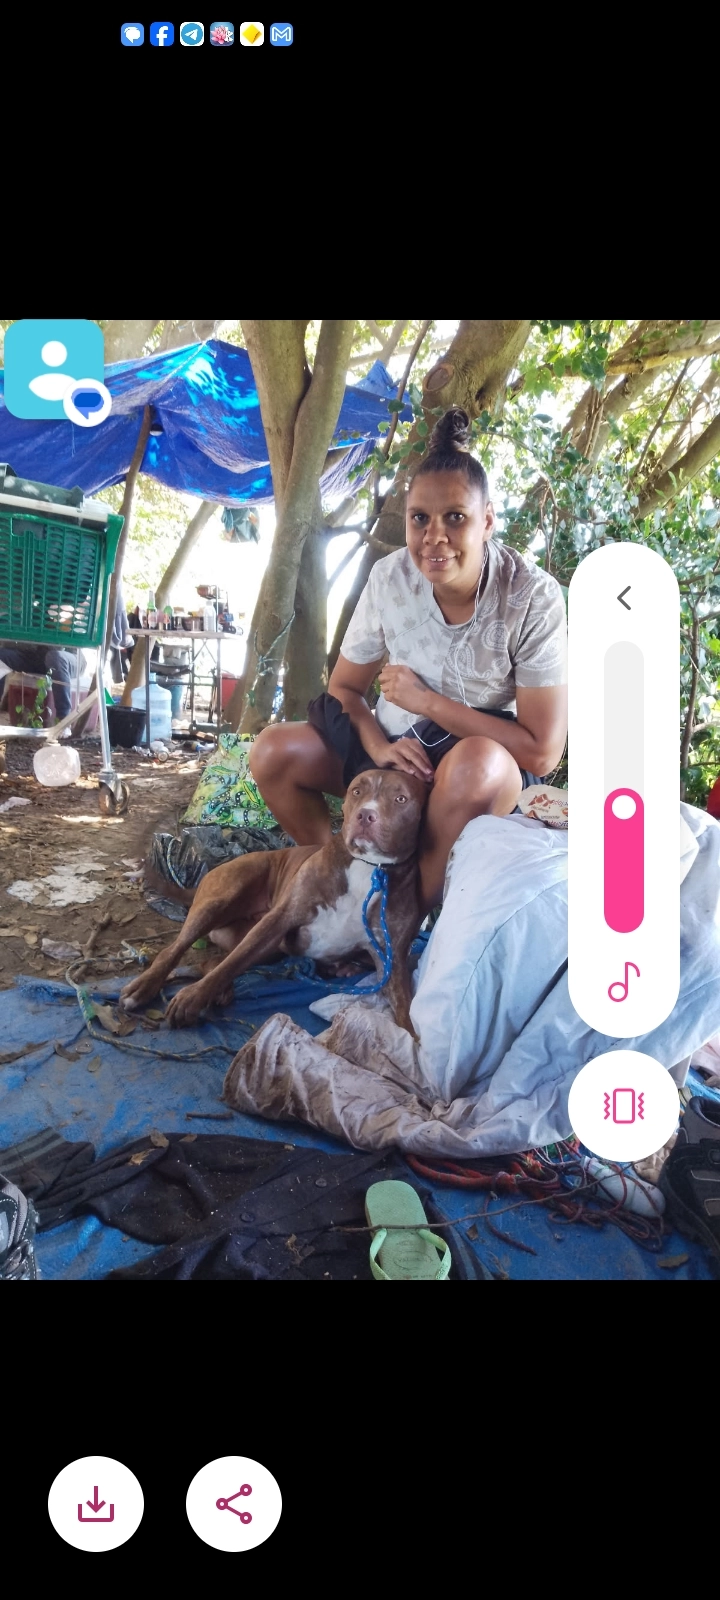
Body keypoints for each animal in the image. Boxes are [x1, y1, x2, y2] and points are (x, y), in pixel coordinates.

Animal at [121, 768, 427, 1033]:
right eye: (356, 791)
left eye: (401, 799)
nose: (365, 815)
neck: (370, 867)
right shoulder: (279, 919)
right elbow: (232, 963)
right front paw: (192, 998)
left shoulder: (391, 960)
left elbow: (407, 1016)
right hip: (224, 899)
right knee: (181, 951)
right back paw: (143, 988)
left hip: (267, 947)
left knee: (214, 962)